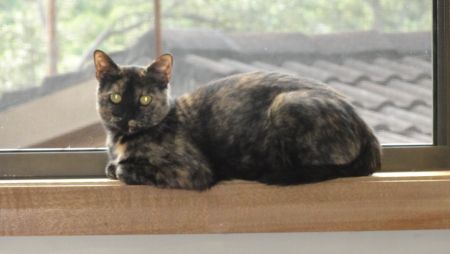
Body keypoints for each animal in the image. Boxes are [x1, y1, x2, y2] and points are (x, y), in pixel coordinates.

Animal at [94, 49, 380, 190]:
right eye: (116, 97)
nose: (126, 117)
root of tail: (368, 130)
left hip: (286, 104)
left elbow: (123, 169)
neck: (119, 141)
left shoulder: (191, 171)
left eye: (144, 100)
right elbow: (111, 167)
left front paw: (121, 168)